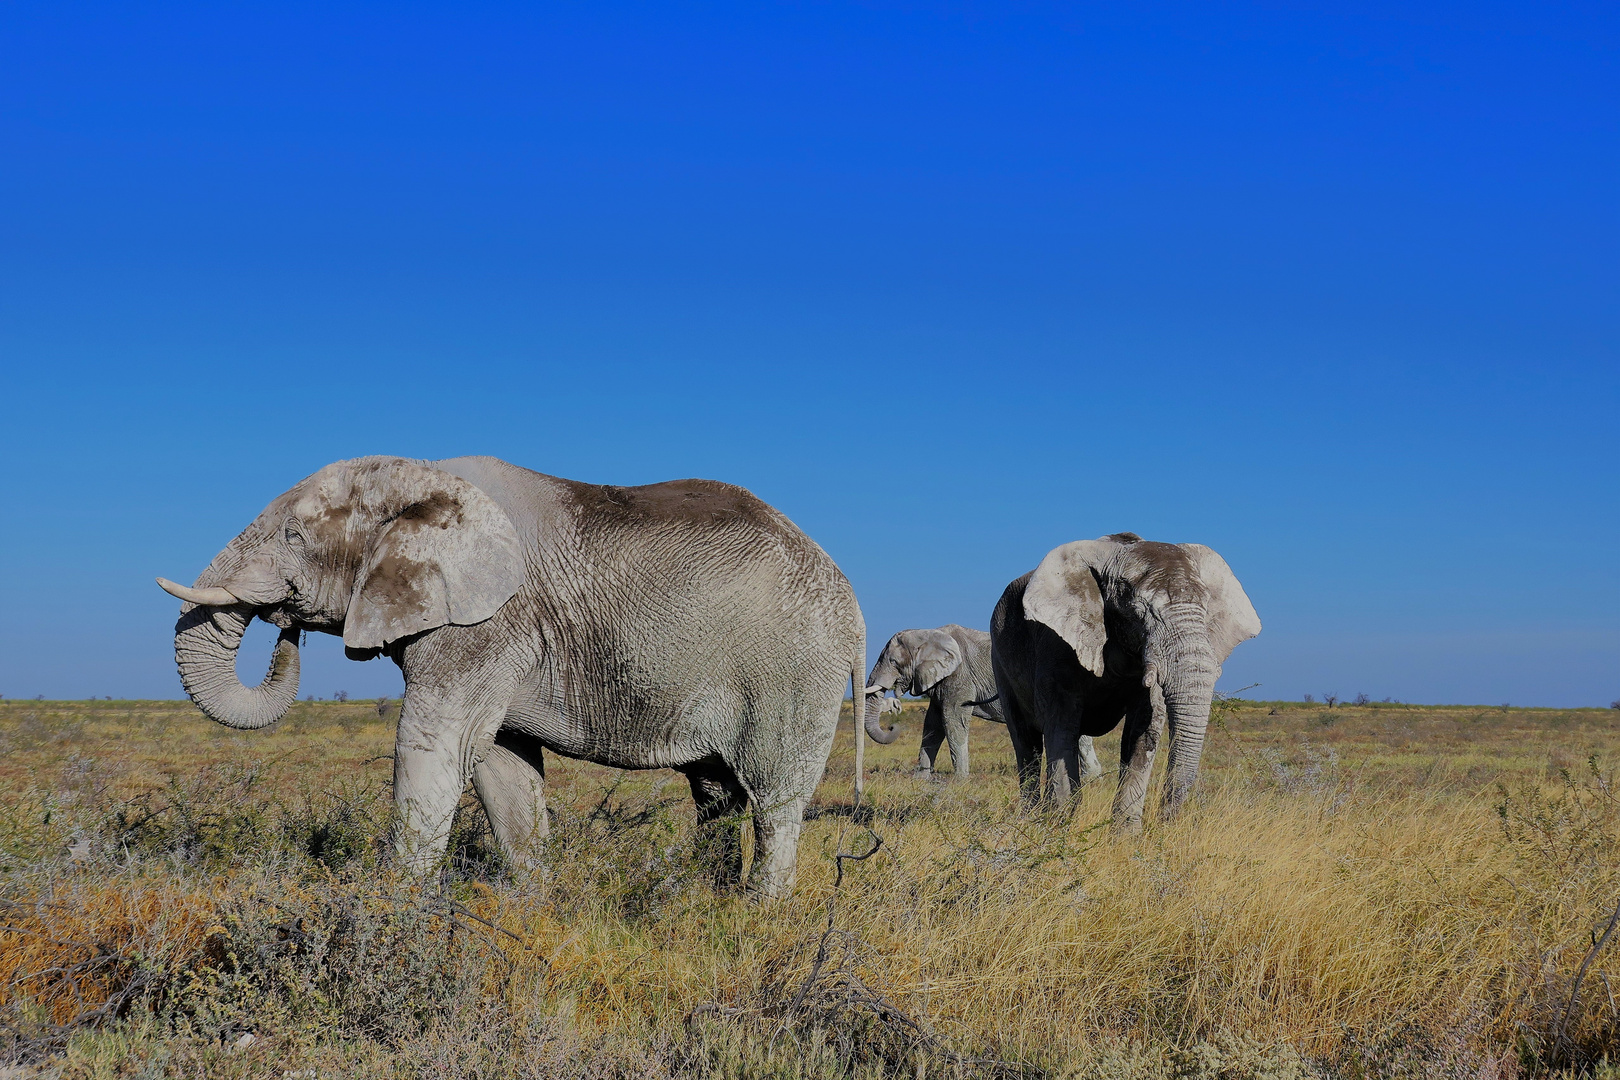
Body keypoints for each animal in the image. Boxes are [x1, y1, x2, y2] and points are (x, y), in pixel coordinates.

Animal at [153, 456, 868, 893]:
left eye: (295, 538)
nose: (286, 627)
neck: (421, 479)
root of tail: (853, 603)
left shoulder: (487, 624)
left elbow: (433, 750)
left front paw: (387, 915)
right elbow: (502, 766)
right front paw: (533, 907)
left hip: (793, 674)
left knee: (774, 804)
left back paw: (758, 915)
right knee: (717, 795)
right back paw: (707, 903)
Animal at [861, 625, 1101, 786]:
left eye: (893, 662)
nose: (892, 726)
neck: (929, 632)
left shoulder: (960, 677)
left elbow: (952, 720)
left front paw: (959, 782)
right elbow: (932, 726)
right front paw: (920, 780)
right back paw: (1093, 778)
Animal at [984, 531, 1263, 829]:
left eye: (1206, 609)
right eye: (1139, 611)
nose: (1165, 820)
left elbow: (1143, 730)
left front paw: (1126, 834)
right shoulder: (1055, 645)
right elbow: (1060, 725)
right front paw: (1058, 827)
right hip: (999, 659)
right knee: (1026, 741)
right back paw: (1029, 819)